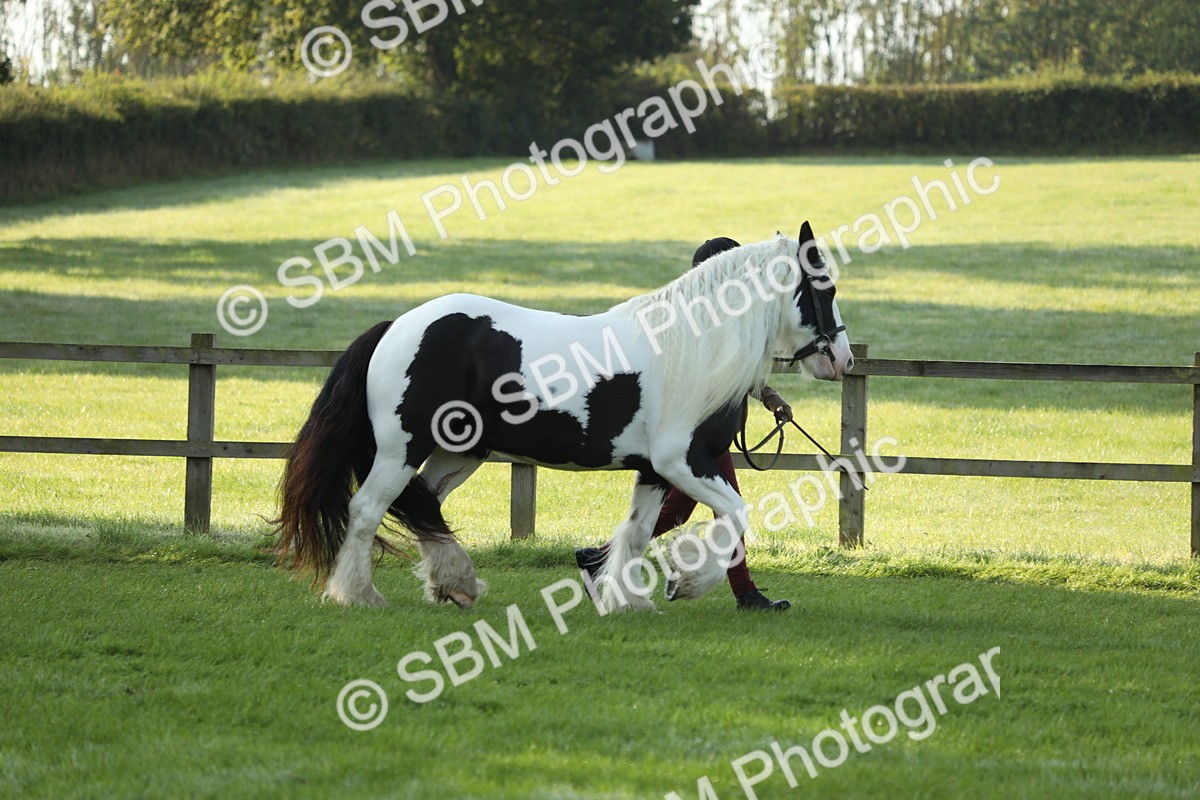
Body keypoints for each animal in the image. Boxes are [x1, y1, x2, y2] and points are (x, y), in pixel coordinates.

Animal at [273, 222, 853, 613]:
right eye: (824, 286)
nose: (843, 360)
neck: (691, 346)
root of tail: (396, 326)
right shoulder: (682, 461)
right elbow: (734, 515)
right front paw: (684, 583)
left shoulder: (653, 470)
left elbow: (637, 533)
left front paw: (628, 600)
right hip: (402, 449)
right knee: (368, 508)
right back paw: (359, 595)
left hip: (458, 453)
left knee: (423, 504)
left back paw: (455, 584)